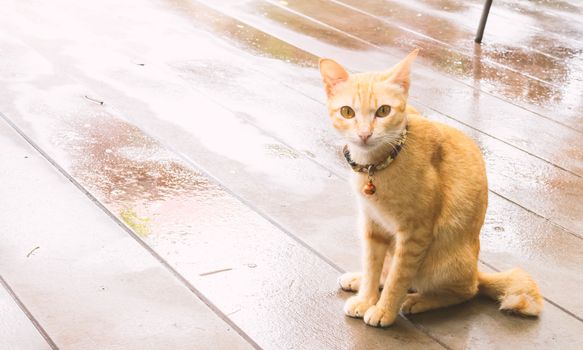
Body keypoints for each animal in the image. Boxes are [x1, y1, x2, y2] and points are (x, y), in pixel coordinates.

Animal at [320, 50, 544, 328]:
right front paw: (366, 298)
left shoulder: (415, 233)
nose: (364, 134)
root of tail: (476, 269)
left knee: (466, 291)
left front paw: (384, 311)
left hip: (441, 263)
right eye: (347, 112)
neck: (377, 165)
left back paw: (418, 300)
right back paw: (358, 280)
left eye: (383, 111)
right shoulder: (373, 227)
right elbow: (373, 266)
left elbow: (398, 279)